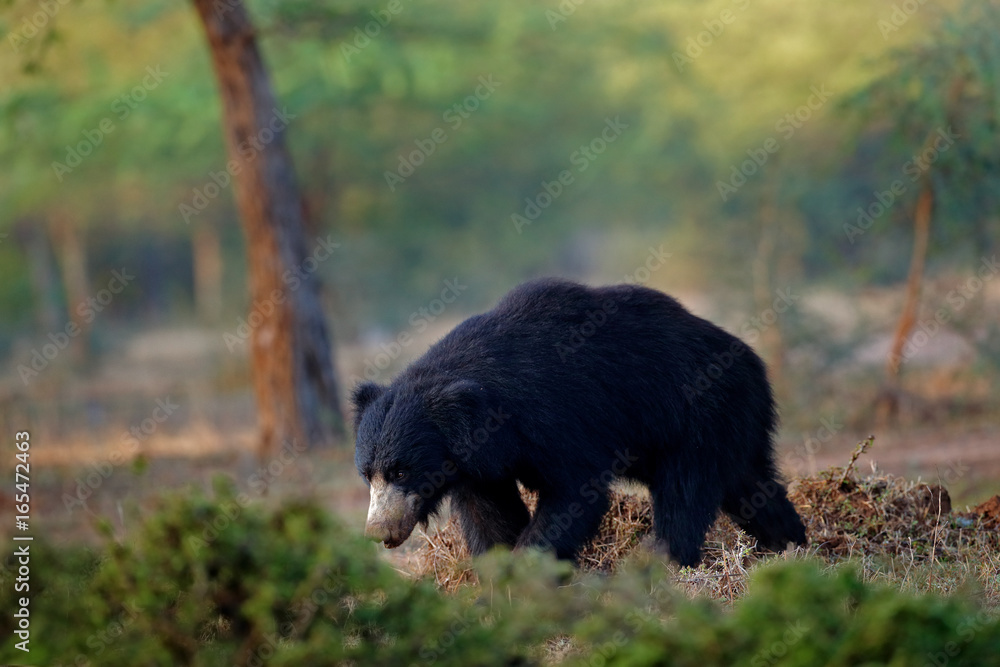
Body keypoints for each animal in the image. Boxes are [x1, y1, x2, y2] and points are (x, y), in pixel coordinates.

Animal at [352, 278, 807, 567]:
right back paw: (790, 546)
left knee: (686, 491)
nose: (378, 532)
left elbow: (575, 492)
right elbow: (489, 515)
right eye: (367, 474)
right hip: (731, 423)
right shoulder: (477, 464)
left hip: (699, 414)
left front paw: (527, 572)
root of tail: (751, 359)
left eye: (401, 470)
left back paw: (660, 562)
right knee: (750, 487)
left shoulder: (558, 418)